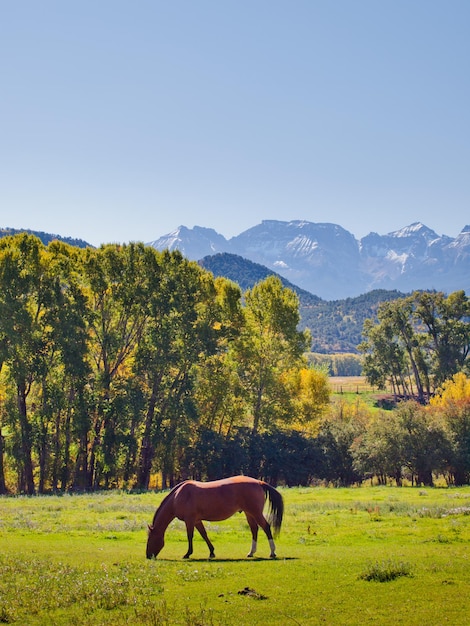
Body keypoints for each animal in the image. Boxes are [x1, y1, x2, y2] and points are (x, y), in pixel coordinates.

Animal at [145, 476, 282, 560]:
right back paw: (251, 552)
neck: (177, 497)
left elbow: (190, 536)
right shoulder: (197, 521)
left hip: (255, 512)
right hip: (249, 513)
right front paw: (211, 552)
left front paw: (188, 554)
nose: (148, 555)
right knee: (254, 529)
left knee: (266, 527)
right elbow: (204, 535)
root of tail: (259, 482)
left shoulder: (190, 520)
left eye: (150, 539)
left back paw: (272, 552)